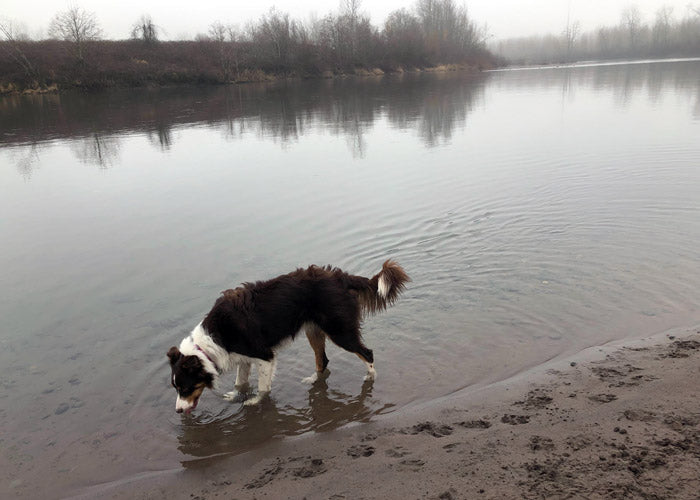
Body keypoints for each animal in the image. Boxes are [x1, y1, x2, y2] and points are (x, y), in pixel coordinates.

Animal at [168, 260, 410, 412]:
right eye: (176, 389)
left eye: (186, 388)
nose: (178, 411)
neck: (212, 340)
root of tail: (340, 277)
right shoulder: (243, 359)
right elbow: (240, 383)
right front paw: (235, 396)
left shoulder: (264, 356)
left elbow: (263, 387)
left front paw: (255, 402)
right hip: (314, 330)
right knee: (323, 360)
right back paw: (314, 379)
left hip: (339, 330)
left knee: (367, 353)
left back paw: (370, 377)